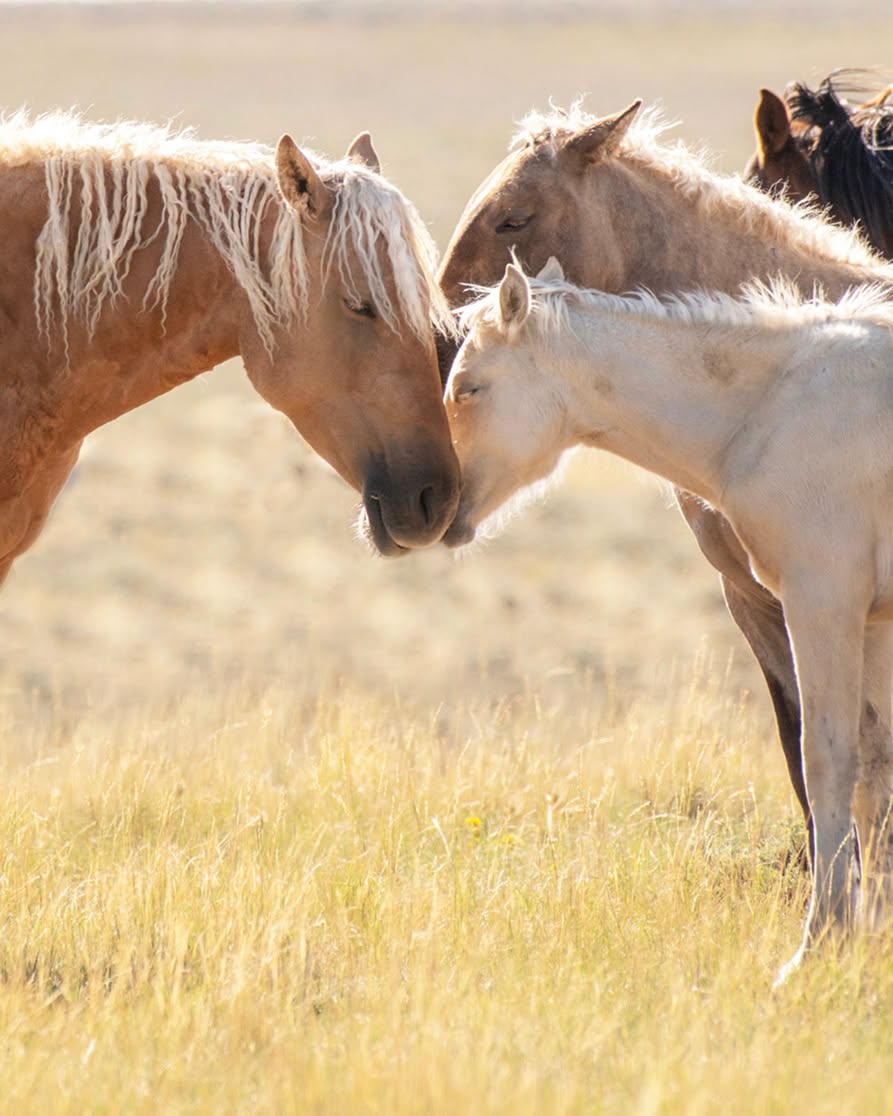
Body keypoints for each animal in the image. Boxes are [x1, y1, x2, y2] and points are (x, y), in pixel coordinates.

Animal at [443, 258, 893, 977]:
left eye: (468, 387)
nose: (432, 504)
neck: (773, 406)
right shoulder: (871, 620)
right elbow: (874, 772)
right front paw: (871, 939)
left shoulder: (821, 602)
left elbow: (826, 763)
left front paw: (818, 943)